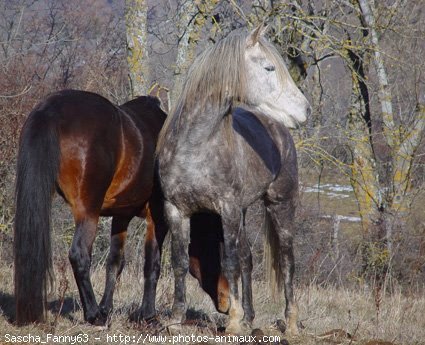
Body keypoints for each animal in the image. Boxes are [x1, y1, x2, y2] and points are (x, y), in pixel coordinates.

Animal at [14, 89, 229, 326]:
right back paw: (93, 315)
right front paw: (148, 315)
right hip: (88, 212)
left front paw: (107, 308)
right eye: (221, 254)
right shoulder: (158, 218)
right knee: (79, 254)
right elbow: (152, 264)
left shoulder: (121, 216)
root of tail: (52, 108)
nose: (227, 305)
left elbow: (115, 262)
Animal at [156, 24, 312, 334]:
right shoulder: (176, 210)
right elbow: (180, 262)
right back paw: (252, 318)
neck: (196, 146)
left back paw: (290, 322)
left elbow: (228, 263)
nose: (305, 109)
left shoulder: (226, 209)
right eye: (268, 67)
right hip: (243, 211)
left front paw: (234, 320)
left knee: (287, 260)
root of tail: (279, 129)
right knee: (247, 258)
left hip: (280, 205)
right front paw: (176, 318)